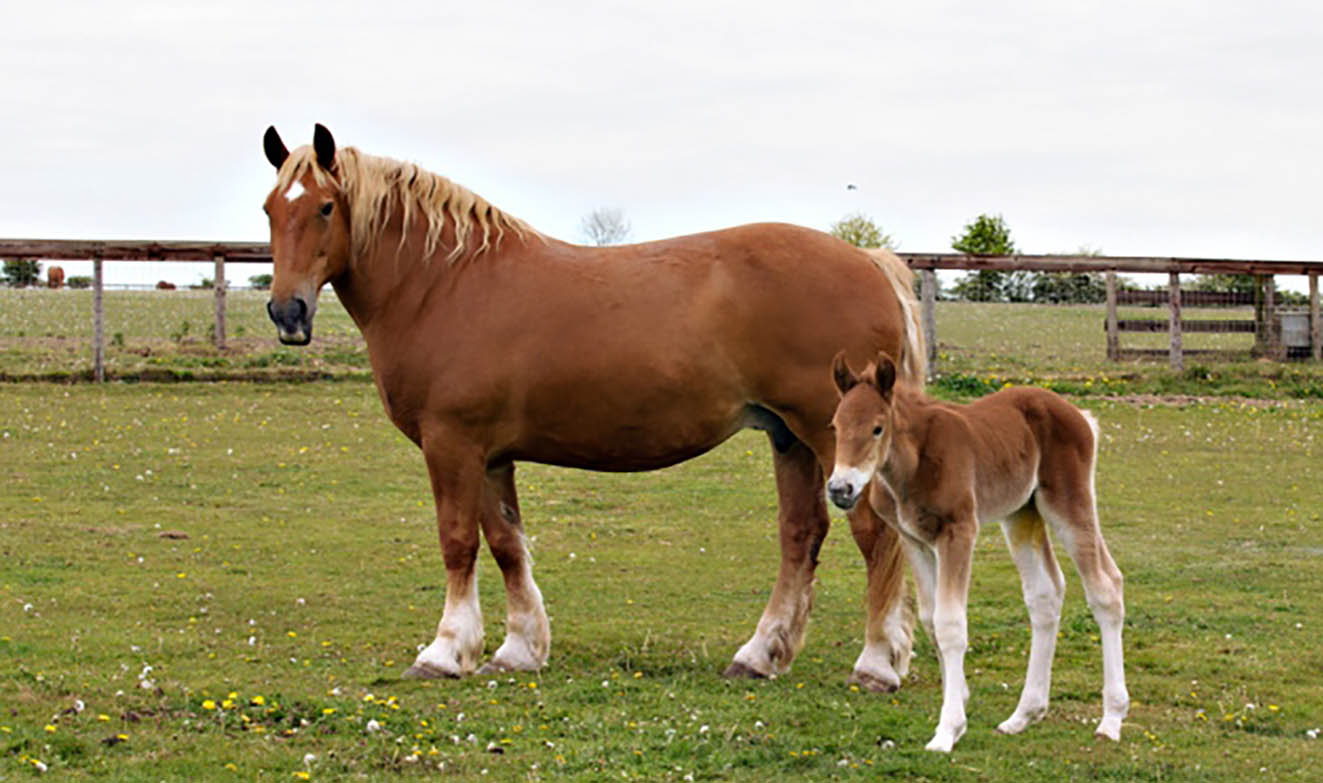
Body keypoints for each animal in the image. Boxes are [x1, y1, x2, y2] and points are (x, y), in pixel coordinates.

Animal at [257, 122, 920, 687]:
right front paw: (518, 649)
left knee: (873, 533)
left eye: (323, 207)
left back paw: (876, 664)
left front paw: (445, 651)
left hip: (832, 436)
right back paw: (759, 656)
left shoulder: (453, 443)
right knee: (800, 535)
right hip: (789, 437)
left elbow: (458, 540)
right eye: (270, 209)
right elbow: (505, 542)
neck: (445, 284)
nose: (288, 312)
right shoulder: (491, 455)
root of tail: (868, 261)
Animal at [825, 354, 1127, 751]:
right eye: (835, 426)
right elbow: (930, 619)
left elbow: (951, 623)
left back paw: (1111, 719)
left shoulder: (959, 533)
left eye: (877, 428)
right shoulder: (914, 540)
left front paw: (948, 729)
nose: (840, 488)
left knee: (1106, 587)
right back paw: (1023, 715)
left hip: (1068, 504)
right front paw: (959, 701)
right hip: (1022, 513)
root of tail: (1079, 415)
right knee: (1045, 595)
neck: (913, 461)